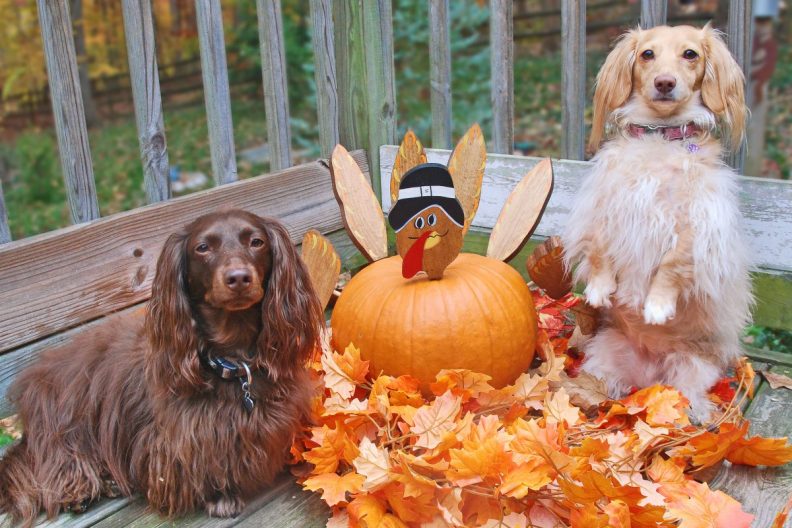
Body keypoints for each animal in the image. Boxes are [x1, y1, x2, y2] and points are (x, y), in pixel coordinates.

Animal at [0, 209, 322, 524]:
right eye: (202, 248)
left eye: (256, 242)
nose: (239, 278)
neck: (233, 360)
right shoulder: (182, 438)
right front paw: (221, 497)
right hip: (67, 417)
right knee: (55, 459)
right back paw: (81, 489)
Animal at [564, 24, 748, 422]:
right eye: (647, 54)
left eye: (690, 54)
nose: (665, 82)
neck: (659, 136)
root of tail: (645, 380)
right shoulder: (607, 205)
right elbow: (600, 251)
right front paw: (600, 289)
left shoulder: (695, 223)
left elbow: (671, 266)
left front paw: (656, 306)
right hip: (602, 356)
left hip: (692, 368)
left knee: (687, 392)